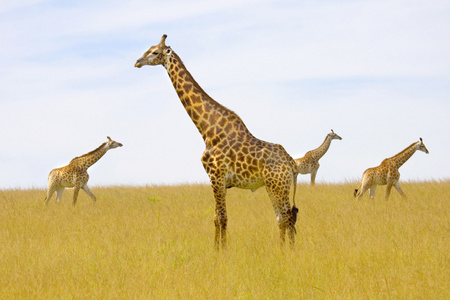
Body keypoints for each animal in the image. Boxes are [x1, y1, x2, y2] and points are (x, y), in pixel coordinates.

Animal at [135, 34, 300, 250]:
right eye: (148, 48)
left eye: (155, 52)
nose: (137, 62)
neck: (207, 130)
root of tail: (291, 163)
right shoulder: (214, 179)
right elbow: (215, 217)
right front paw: (216, 250)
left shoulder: (217, 176)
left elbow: (222, 217)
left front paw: (223, 252)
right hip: (273, 185)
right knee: (282, 218)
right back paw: (281, 251)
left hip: (279, 185)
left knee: (287, 217)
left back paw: (290, 251)